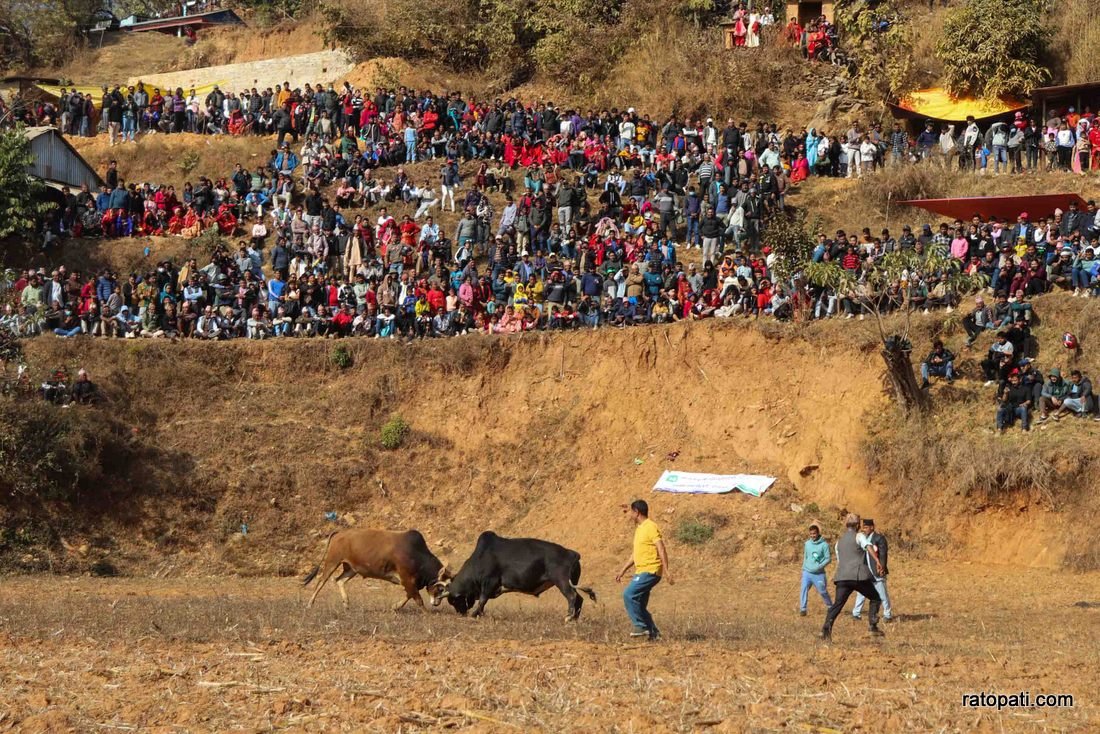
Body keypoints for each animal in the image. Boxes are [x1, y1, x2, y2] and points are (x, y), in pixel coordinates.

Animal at [301, 530, 451, 611]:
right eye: (440, 588)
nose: (436, 604)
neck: (418, 555)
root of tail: (340, 533)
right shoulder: (406, 578)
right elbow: (417, 598)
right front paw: (427, 613)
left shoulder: (409, 582)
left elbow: (409, 595)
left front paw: (395, 607)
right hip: (332, 561)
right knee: (321, 582)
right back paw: (309, 604)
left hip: (352, 568)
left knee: (339, 580)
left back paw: (346, 604)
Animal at [440, 530, 602, 625]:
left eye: (454, 600)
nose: (461, 613)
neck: (479, 558)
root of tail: (572, 553)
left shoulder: (489, 582)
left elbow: (482, 600)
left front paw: (474, 614)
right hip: (571, 582)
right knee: (579, 599)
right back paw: (575, 618)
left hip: (562, 582)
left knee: (572, 596)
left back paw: (568, 617)